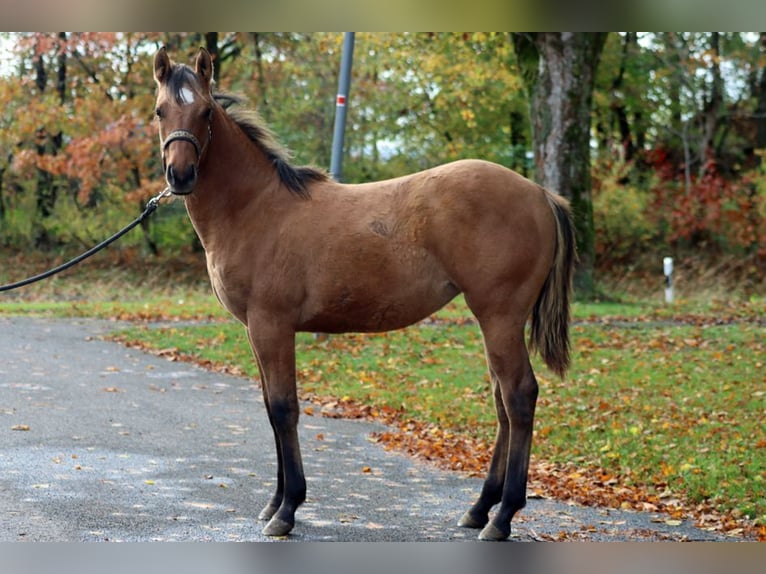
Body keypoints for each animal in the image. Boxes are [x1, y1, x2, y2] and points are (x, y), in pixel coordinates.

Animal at [152, 47, 575, 541]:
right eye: (160, 111)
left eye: (204, 112)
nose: (180, 176)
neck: (256, 207)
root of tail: (540, 193)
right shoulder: (255, 331)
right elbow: (270, 408)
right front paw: (274, 502)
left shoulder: (271, 325)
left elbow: (283, 408)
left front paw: (287, 509)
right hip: (495, 321)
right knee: (503, 403)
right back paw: (479, 509)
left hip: (500, 316)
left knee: (519, 397)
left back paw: (503, 516)